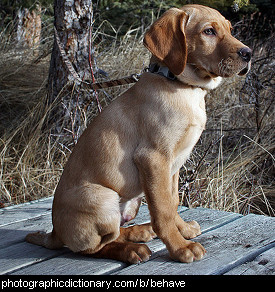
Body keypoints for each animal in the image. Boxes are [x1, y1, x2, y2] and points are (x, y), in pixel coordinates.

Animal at [26, 4, 252, 264]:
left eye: (230, 29)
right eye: (209, 31)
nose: (249, 53)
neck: (182, 86)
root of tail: (54, 232)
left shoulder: (173, 165)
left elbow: (172, 203)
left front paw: (183, 230)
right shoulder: (153, 158)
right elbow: (163, 212)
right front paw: (180, 247)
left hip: (132, 200)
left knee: (115, 232)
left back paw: (139, 231)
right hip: (101, 197)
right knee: (92, 247)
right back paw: (132, 249)